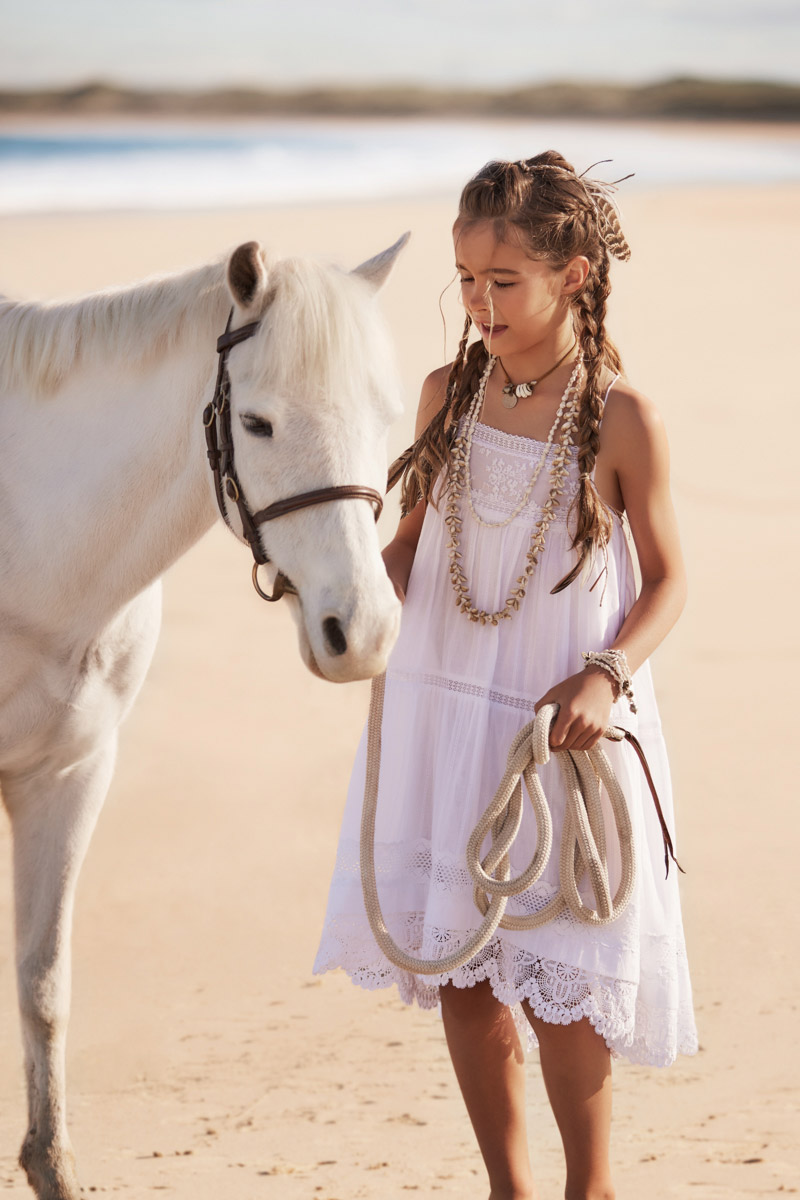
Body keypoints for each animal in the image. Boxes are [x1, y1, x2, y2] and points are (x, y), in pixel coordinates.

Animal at [0, 232, 408, 1200]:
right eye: (256, 424)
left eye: (386, 417)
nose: (363, 633)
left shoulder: (69, 774)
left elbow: (43, 978)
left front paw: (51, 1162)